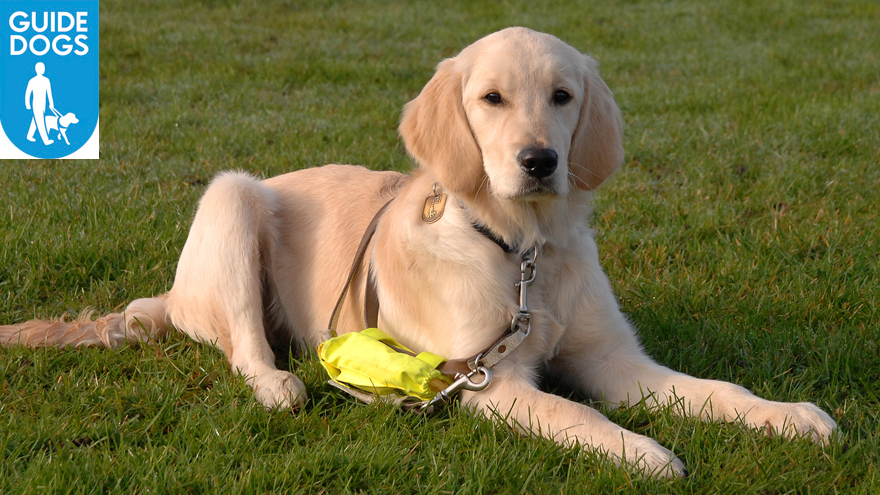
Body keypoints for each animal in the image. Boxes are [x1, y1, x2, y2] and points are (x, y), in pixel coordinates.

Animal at [3, 27, 836, 476]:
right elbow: (580, 416)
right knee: (244, 346)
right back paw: (277, 382)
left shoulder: (612, 359)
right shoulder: (489, 380)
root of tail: (172, 298)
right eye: (491, 99)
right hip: (232, 198)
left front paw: (788, 416)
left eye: (563, 96)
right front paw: (646, 451)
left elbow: (714, 389)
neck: (525, 251)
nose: (539, 160)